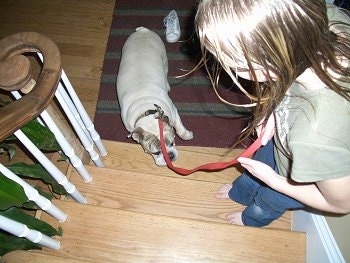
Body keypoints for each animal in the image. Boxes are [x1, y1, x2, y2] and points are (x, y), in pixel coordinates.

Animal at [117, 27, 194, 167]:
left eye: (172, 143)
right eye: (156, 153)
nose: (170, 156)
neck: (146, 110)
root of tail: (142, 31)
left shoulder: (174, 113)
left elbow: (180, 129)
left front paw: (187, 135)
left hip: (164, 57)